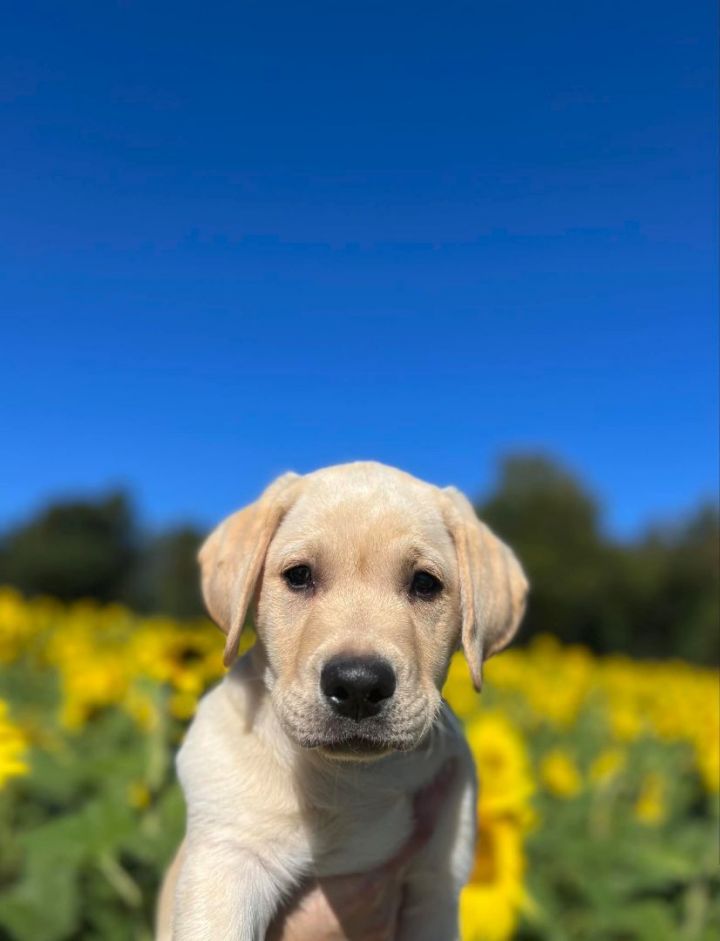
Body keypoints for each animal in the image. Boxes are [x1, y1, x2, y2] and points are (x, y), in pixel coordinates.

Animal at [156, 460, 528, 940]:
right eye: (299, 576)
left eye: (425, 583)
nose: (358, 686)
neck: (352, 781)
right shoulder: (226, 860)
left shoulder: (436, 889)